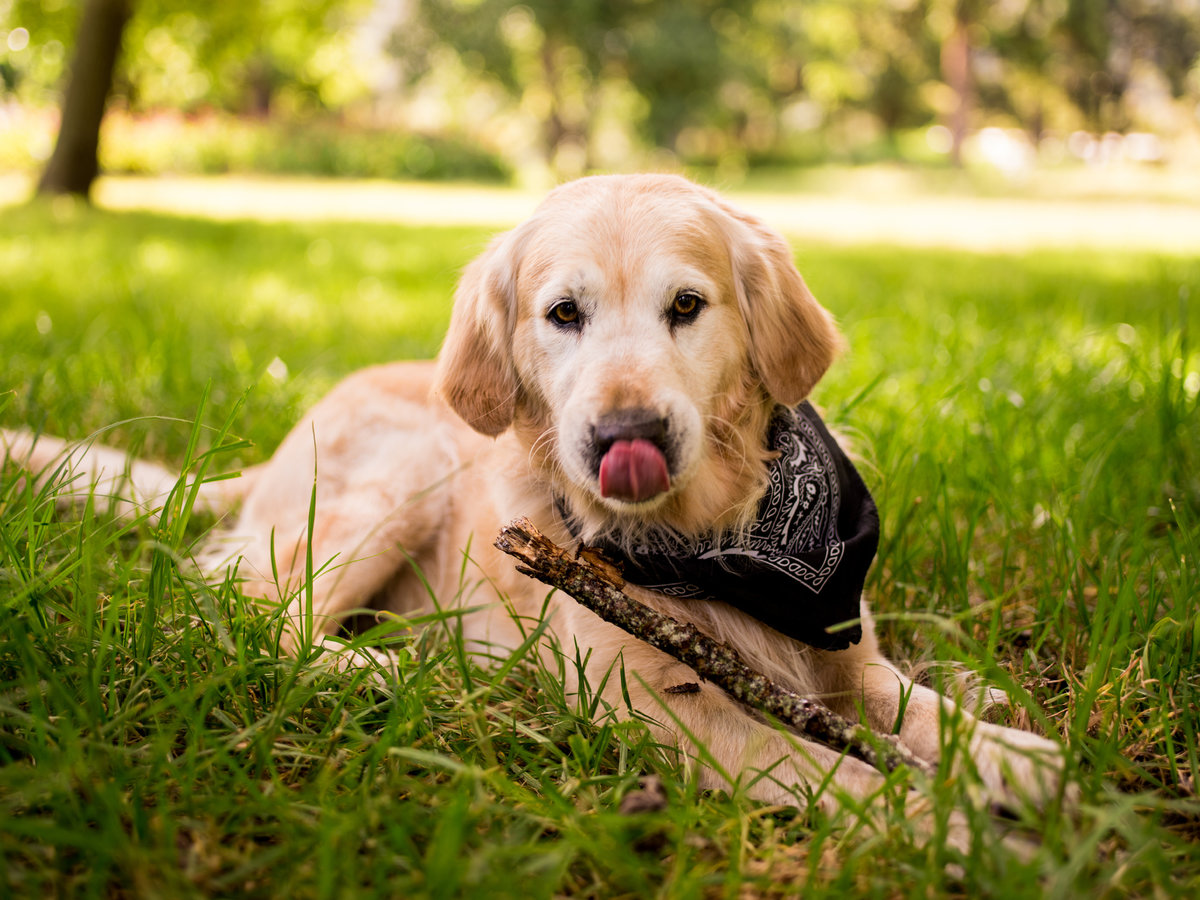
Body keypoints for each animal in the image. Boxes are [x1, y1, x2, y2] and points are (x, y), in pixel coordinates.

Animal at [4, 174, 1065, 840]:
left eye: (687, 306)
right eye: (564, 314)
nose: (625, 433)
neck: (708, 537)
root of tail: (277, 446)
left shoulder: (842, 651)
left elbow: (913, 706)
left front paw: (1004, 755)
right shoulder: (662, 707)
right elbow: (838, 767)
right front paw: (948, 827)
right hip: (397, 478)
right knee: (243, 615)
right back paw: (391, 672)